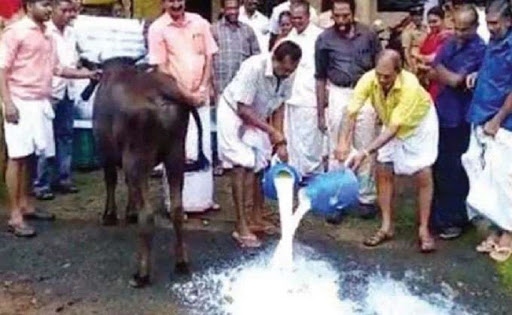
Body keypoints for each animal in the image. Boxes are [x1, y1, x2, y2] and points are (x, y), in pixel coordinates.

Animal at [81, 56, 207, 288]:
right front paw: (129, 212)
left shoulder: (105, 151)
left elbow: (111, 180)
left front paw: (109, 215)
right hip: (175, 153)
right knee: (177, 208)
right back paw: (181, 263)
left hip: (136, 157)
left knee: (147, 215)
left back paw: (141, 274)